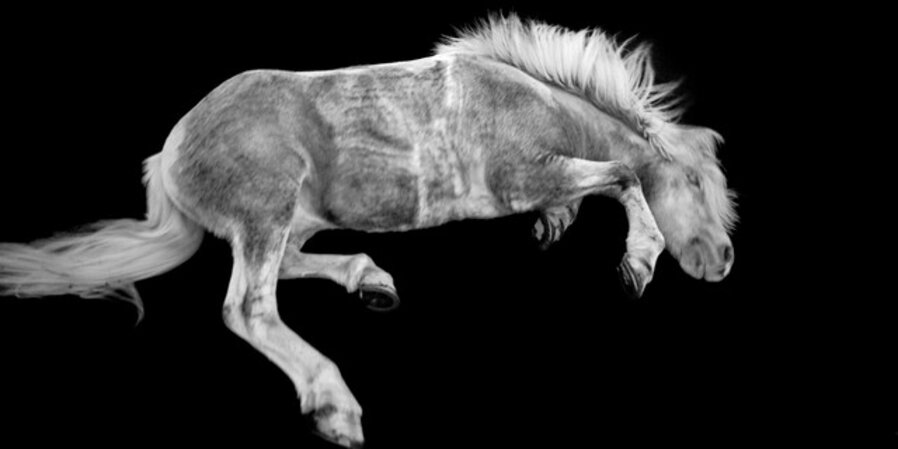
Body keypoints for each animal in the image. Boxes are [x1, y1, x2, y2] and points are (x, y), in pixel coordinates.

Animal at [0, 14, 736, 448]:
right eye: (697, 183)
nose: (724, 260)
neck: (531, 100)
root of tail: (169, 151)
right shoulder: (521, 176)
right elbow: (625, 174)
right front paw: (638, 262)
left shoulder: (543, 177)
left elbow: (602, 183)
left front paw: (560, 226)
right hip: (268, 211)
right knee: (249, 306)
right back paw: (334, 404)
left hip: (294, 219)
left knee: (292, 267)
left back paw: (373, 282)